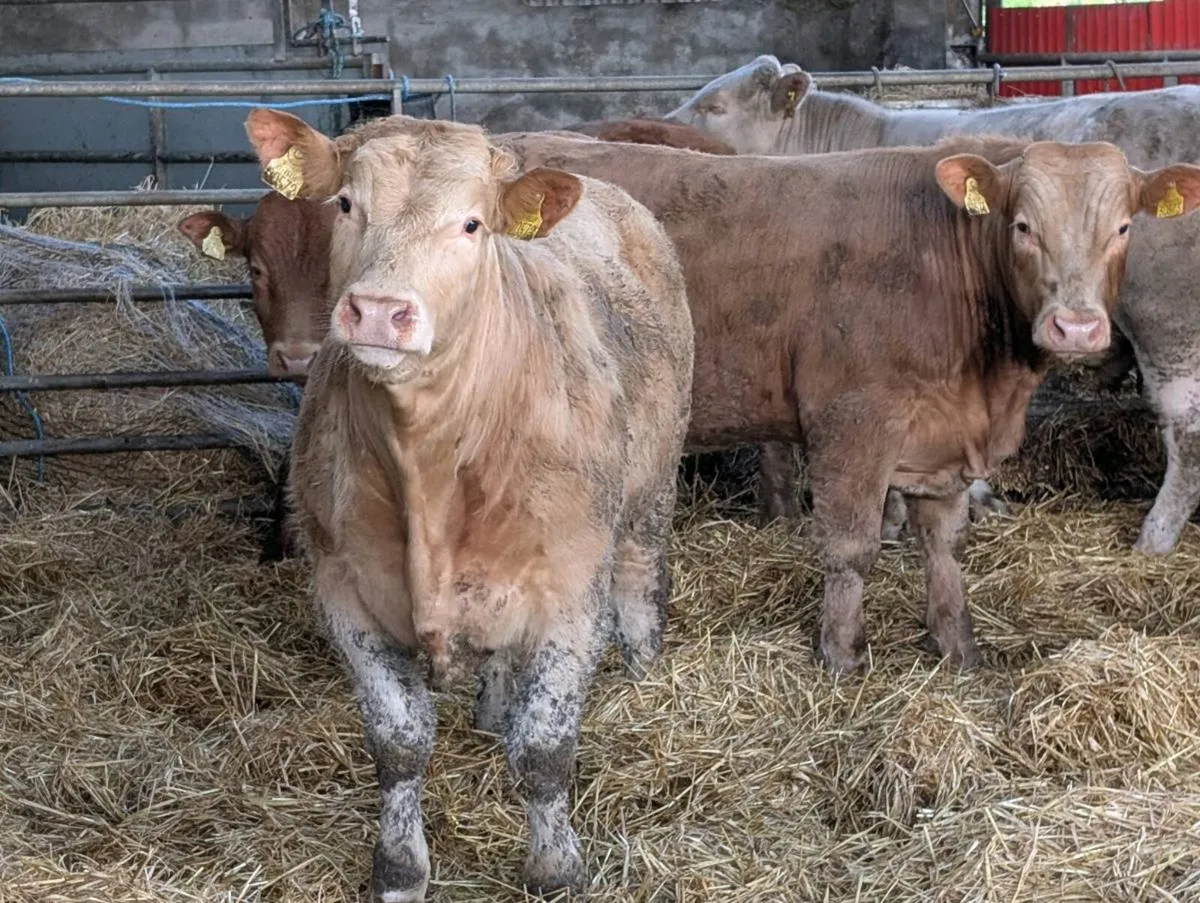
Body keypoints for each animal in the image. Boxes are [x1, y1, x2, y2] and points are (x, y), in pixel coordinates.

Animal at [242, 108, 694, 900]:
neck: (427, 466)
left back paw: (643, 673)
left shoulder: (570, 595)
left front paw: (554, 869)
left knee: (642, 585)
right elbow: (397, 744)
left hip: (650, 493)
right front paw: (399, 868)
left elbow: (544, 749)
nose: (379, 311)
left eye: (472, 224)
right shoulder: (346, 593)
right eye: (346, 204)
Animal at [494, 129, 1200, 675]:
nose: (1075, 327)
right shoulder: (853, 419)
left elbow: (944, 545)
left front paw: (959, 649)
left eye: (1123, 227)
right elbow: (850, 546)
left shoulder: (939, 438)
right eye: (1023, 226)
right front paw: (841, 655)